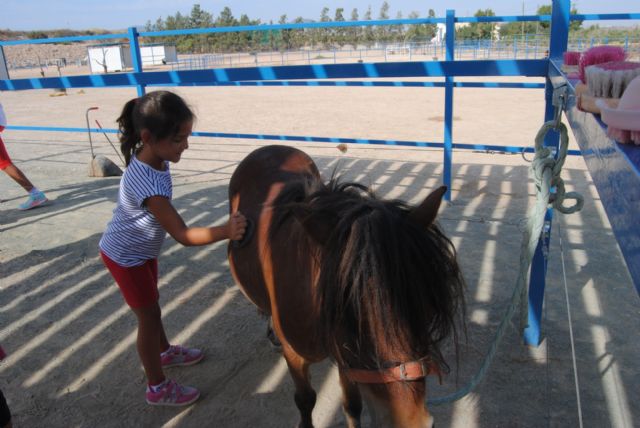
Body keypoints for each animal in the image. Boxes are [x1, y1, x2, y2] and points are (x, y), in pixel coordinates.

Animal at [230, 145, 464, 426]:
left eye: (427, 311)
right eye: (348, 322)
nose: (412, 422)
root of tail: (269, 148)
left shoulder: (347, 359)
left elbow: (352, 405)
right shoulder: (296, 357)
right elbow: (305, 399)